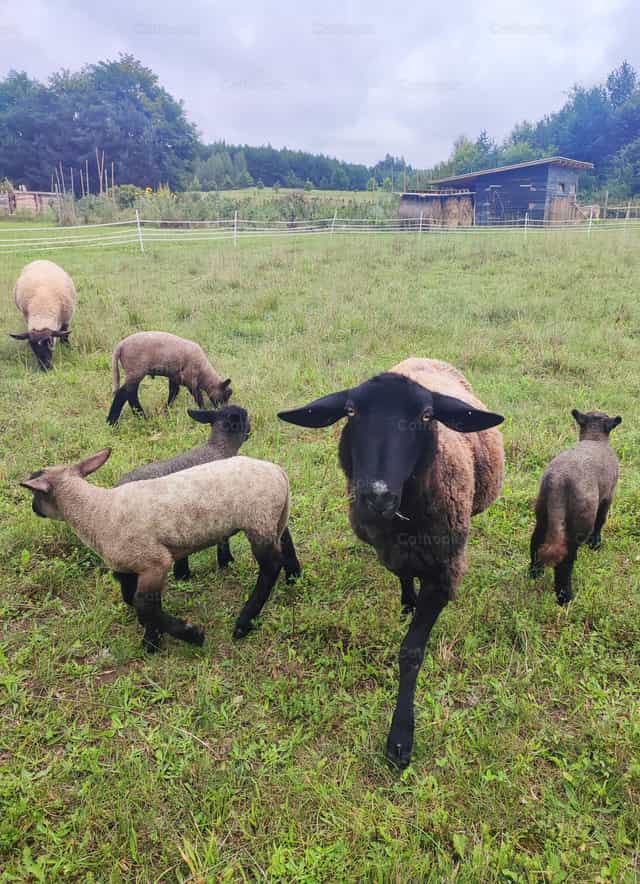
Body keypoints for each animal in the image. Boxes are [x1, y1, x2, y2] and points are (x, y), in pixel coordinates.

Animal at [20, 449, 301, 652]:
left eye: (35, 494)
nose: (33, 509)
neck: (97, 512)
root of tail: (279, 472)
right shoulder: (129, 567)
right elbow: (135, 601)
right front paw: (153, 639)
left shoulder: (155, 562)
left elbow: (144, 605)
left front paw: (189, 635)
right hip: (274, 517)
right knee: (286, 542)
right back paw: (294, 577)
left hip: (258, 520)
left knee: (270, 566)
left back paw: (244, 622)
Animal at [278, 357, 504, 769]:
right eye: (351, 411)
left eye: (427, 415)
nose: (376, 495)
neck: (402, 522)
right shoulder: (387, 549)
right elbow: (401, 575)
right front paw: (406, 603)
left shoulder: (443, 572)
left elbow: (411, 652)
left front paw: (400, 738)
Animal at [529, 409, 621, 605]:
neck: (595, 437)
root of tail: (558, 481)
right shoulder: (608, 495)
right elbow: (601, 520)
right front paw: (595, 544)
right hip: (579, 519)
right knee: (566, 559)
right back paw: (565, 597)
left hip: (543, 512)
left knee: (536, 543)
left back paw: (535, 573)